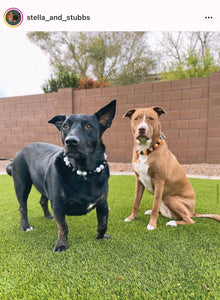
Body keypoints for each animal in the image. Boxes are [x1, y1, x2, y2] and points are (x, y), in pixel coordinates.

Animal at [6, 100, 117, 251]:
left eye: (89, 126)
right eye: (65, 126)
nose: (70, 141)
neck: (84, 173)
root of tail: (21, 150)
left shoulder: (103, 203)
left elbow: (103, 224)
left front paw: (101, 237)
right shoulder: (58, 205)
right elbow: (63, 227)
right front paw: (61, 245)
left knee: (42, 201)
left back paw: (48, 216)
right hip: (21, 184)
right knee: (22, 207)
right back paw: (25, 226)